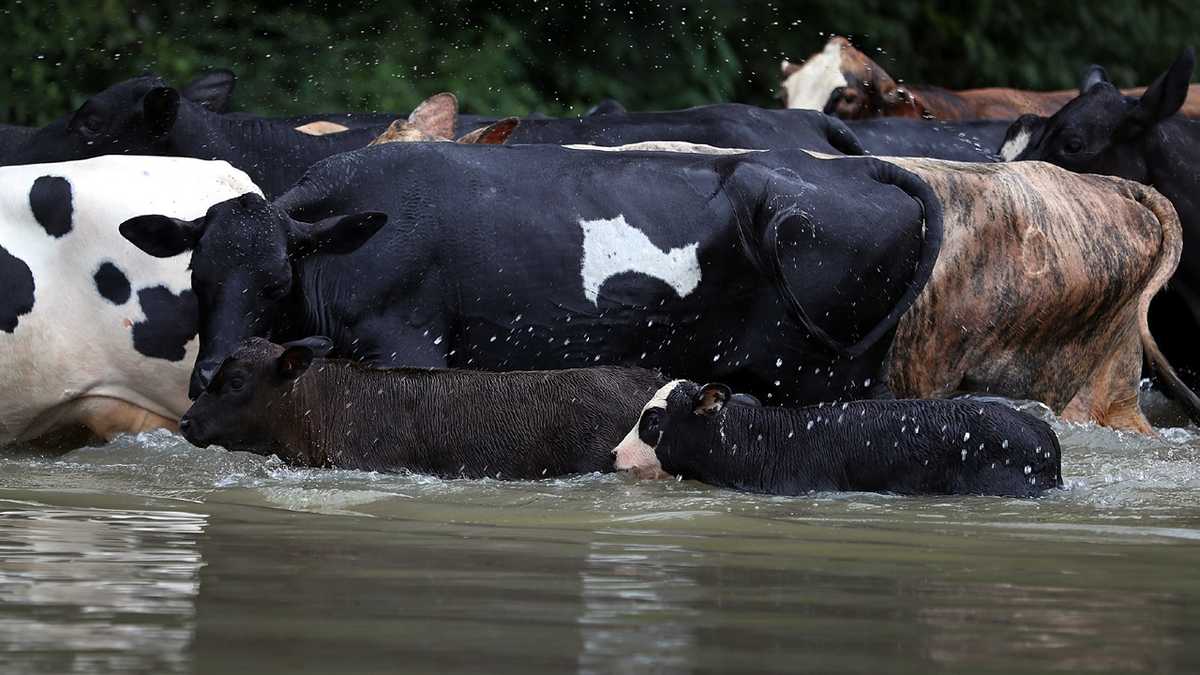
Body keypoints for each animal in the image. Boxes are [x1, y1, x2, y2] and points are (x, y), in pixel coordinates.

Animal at [119, 142, 943, 411]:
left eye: (276, 279)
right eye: (196, 275)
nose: (209, 371)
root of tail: (856, 165)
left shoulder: (409, 348)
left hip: (824, 373)